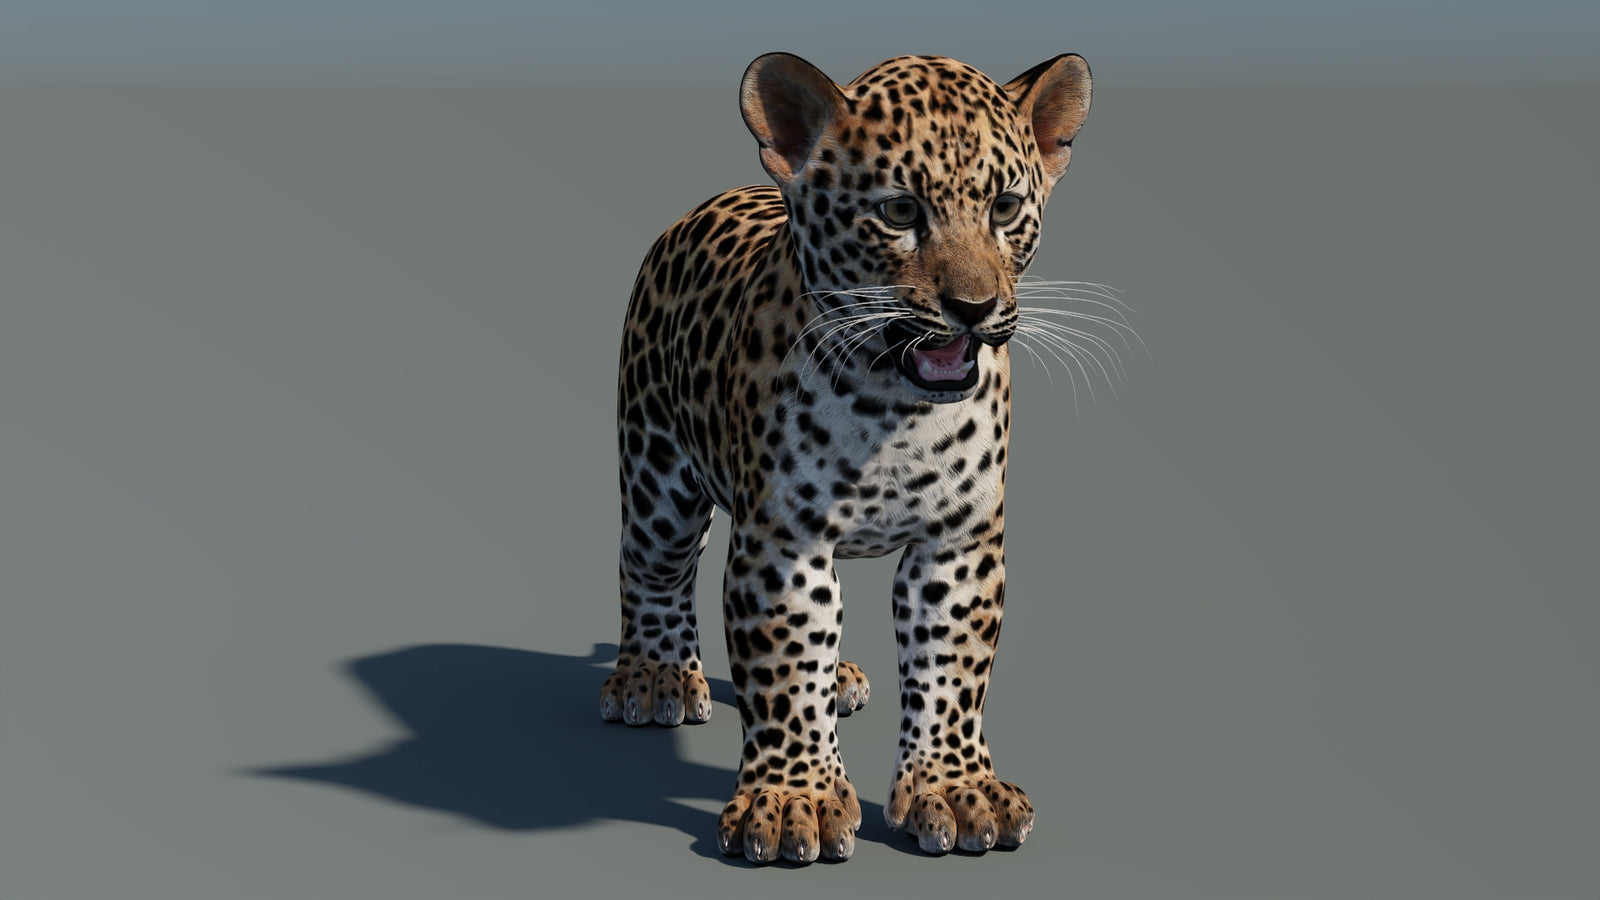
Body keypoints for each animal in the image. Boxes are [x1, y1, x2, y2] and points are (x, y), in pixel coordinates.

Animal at [598, 51, 1092, 864]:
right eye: (899, 212)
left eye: (1005, 207)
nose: (974, 308)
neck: (893, 410)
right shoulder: (783, 541)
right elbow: (785, 660)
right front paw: (791, 801)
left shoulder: (958, 542)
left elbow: (950, 666)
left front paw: (956, 789)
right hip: (655, 468)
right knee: (653, 569)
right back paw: (657, 676)